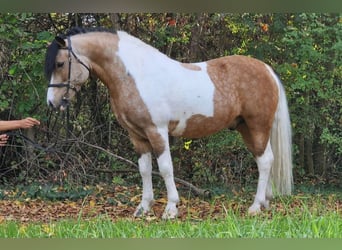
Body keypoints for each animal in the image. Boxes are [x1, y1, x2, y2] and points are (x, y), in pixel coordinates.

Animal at [44, 27, 292, 219]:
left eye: (60, 63)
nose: (52, 102)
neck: (136, 75)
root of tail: (266, 69)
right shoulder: (137, 136)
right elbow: (145, 170)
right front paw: (143, 208)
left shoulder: (157, 131)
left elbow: (165, 168)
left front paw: (171, 208)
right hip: (246, 128)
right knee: (264, 160)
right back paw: (264, 202)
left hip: (257, 126)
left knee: (265, 161)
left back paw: (255, 206)